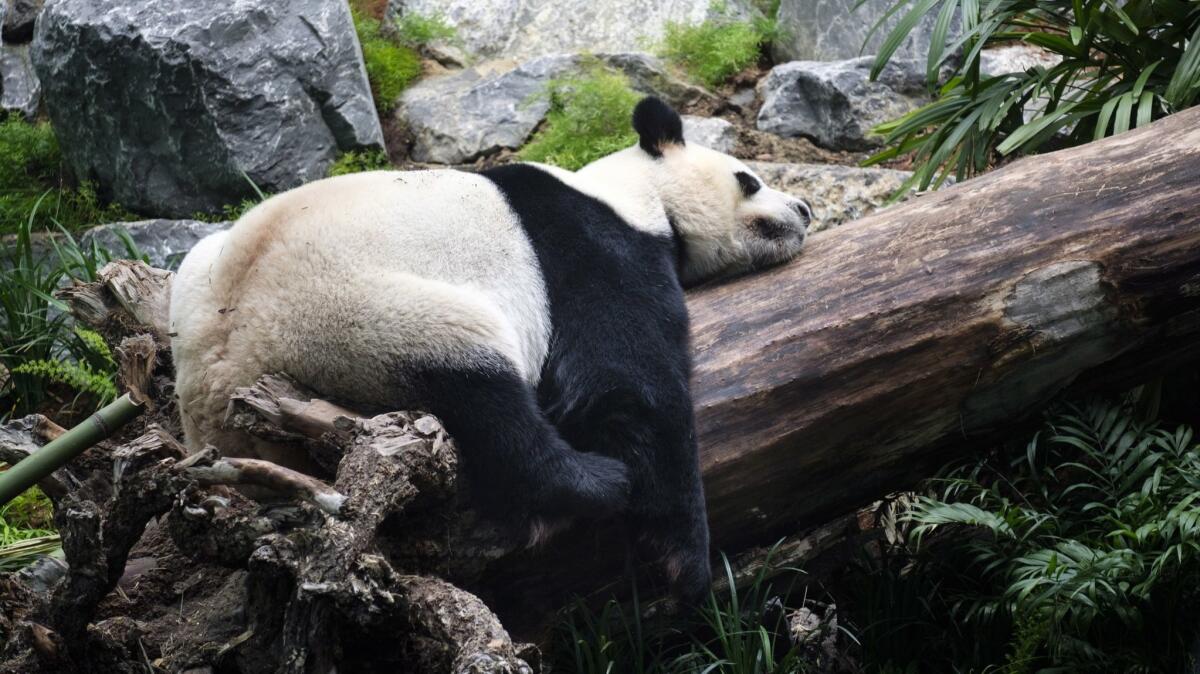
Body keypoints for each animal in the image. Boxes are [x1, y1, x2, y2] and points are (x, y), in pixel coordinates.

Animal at [171, 97, 806, 599]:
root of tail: (213, 399)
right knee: (479, 389)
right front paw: (687, 560)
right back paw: (593, 479)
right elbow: (628, 383)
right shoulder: (587, 250)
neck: (627, 193)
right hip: (351, 317)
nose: (803, 210)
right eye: (749, 179)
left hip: (206, 275)